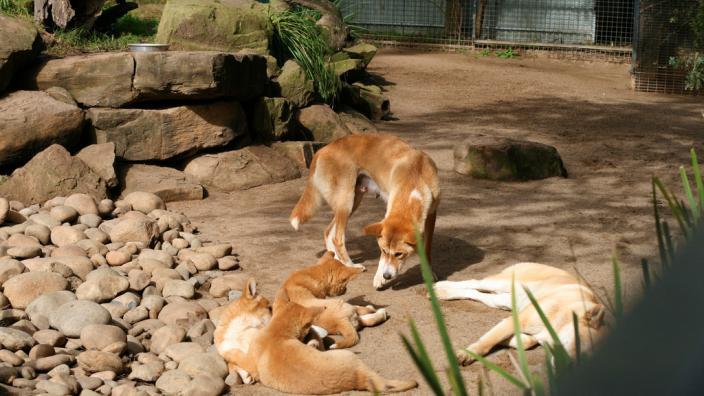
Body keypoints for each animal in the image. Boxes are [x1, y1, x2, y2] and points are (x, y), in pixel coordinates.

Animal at [288, 134, 438, 290]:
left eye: (399, 254)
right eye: (383, 251)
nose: (387, 276)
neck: (414, 177)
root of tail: (323, 149)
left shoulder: (432, 215)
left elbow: (427, 248)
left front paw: (428, 273)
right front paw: (379, 278)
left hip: (353, 201)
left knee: (328, 231)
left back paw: (334, 260)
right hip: (346, 202)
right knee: (337, 238)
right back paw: (351, 265)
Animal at [434, 262, 604, 366]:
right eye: (578, 345)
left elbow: (526, 341)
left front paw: (508, 340)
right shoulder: (518, 320)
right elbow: (487, 342)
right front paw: (468, 354)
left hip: (504, 300)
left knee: (477, 294)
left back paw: (443, 292)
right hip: (502, 283)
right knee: (474, 282)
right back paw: (440, 287)